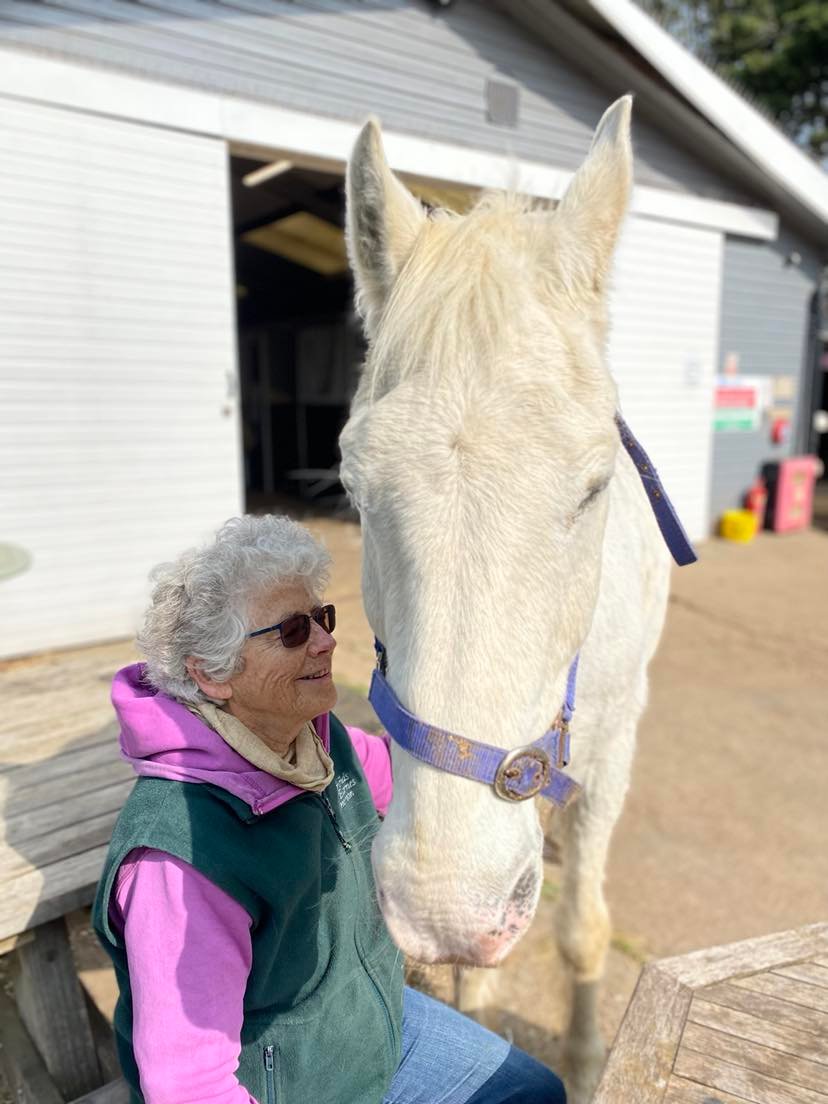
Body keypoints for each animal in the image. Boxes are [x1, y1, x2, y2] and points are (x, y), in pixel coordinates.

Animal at [339, 97, 675, 1103]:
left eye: (595, 488)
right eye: (354, 492)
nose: (444, 908)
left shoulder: (613, 744)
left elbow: (583, 931)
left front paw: (590, 1058)